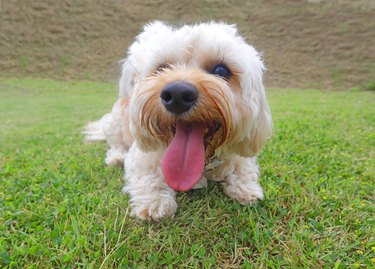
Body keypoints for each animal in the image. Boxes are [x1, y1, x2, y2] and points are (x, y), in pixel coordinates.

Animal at [84, 21, 274, 220]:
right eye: (161, 68)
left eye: (221, 70)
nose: (177, 94)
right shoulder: (141, 157)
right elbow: (149, 177)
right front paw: (155, 202)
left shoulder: (239, 153)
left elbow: (243, 168)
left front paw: (248, 190)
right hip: (113, 122)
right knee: (115, 145)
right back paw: (117, 157)